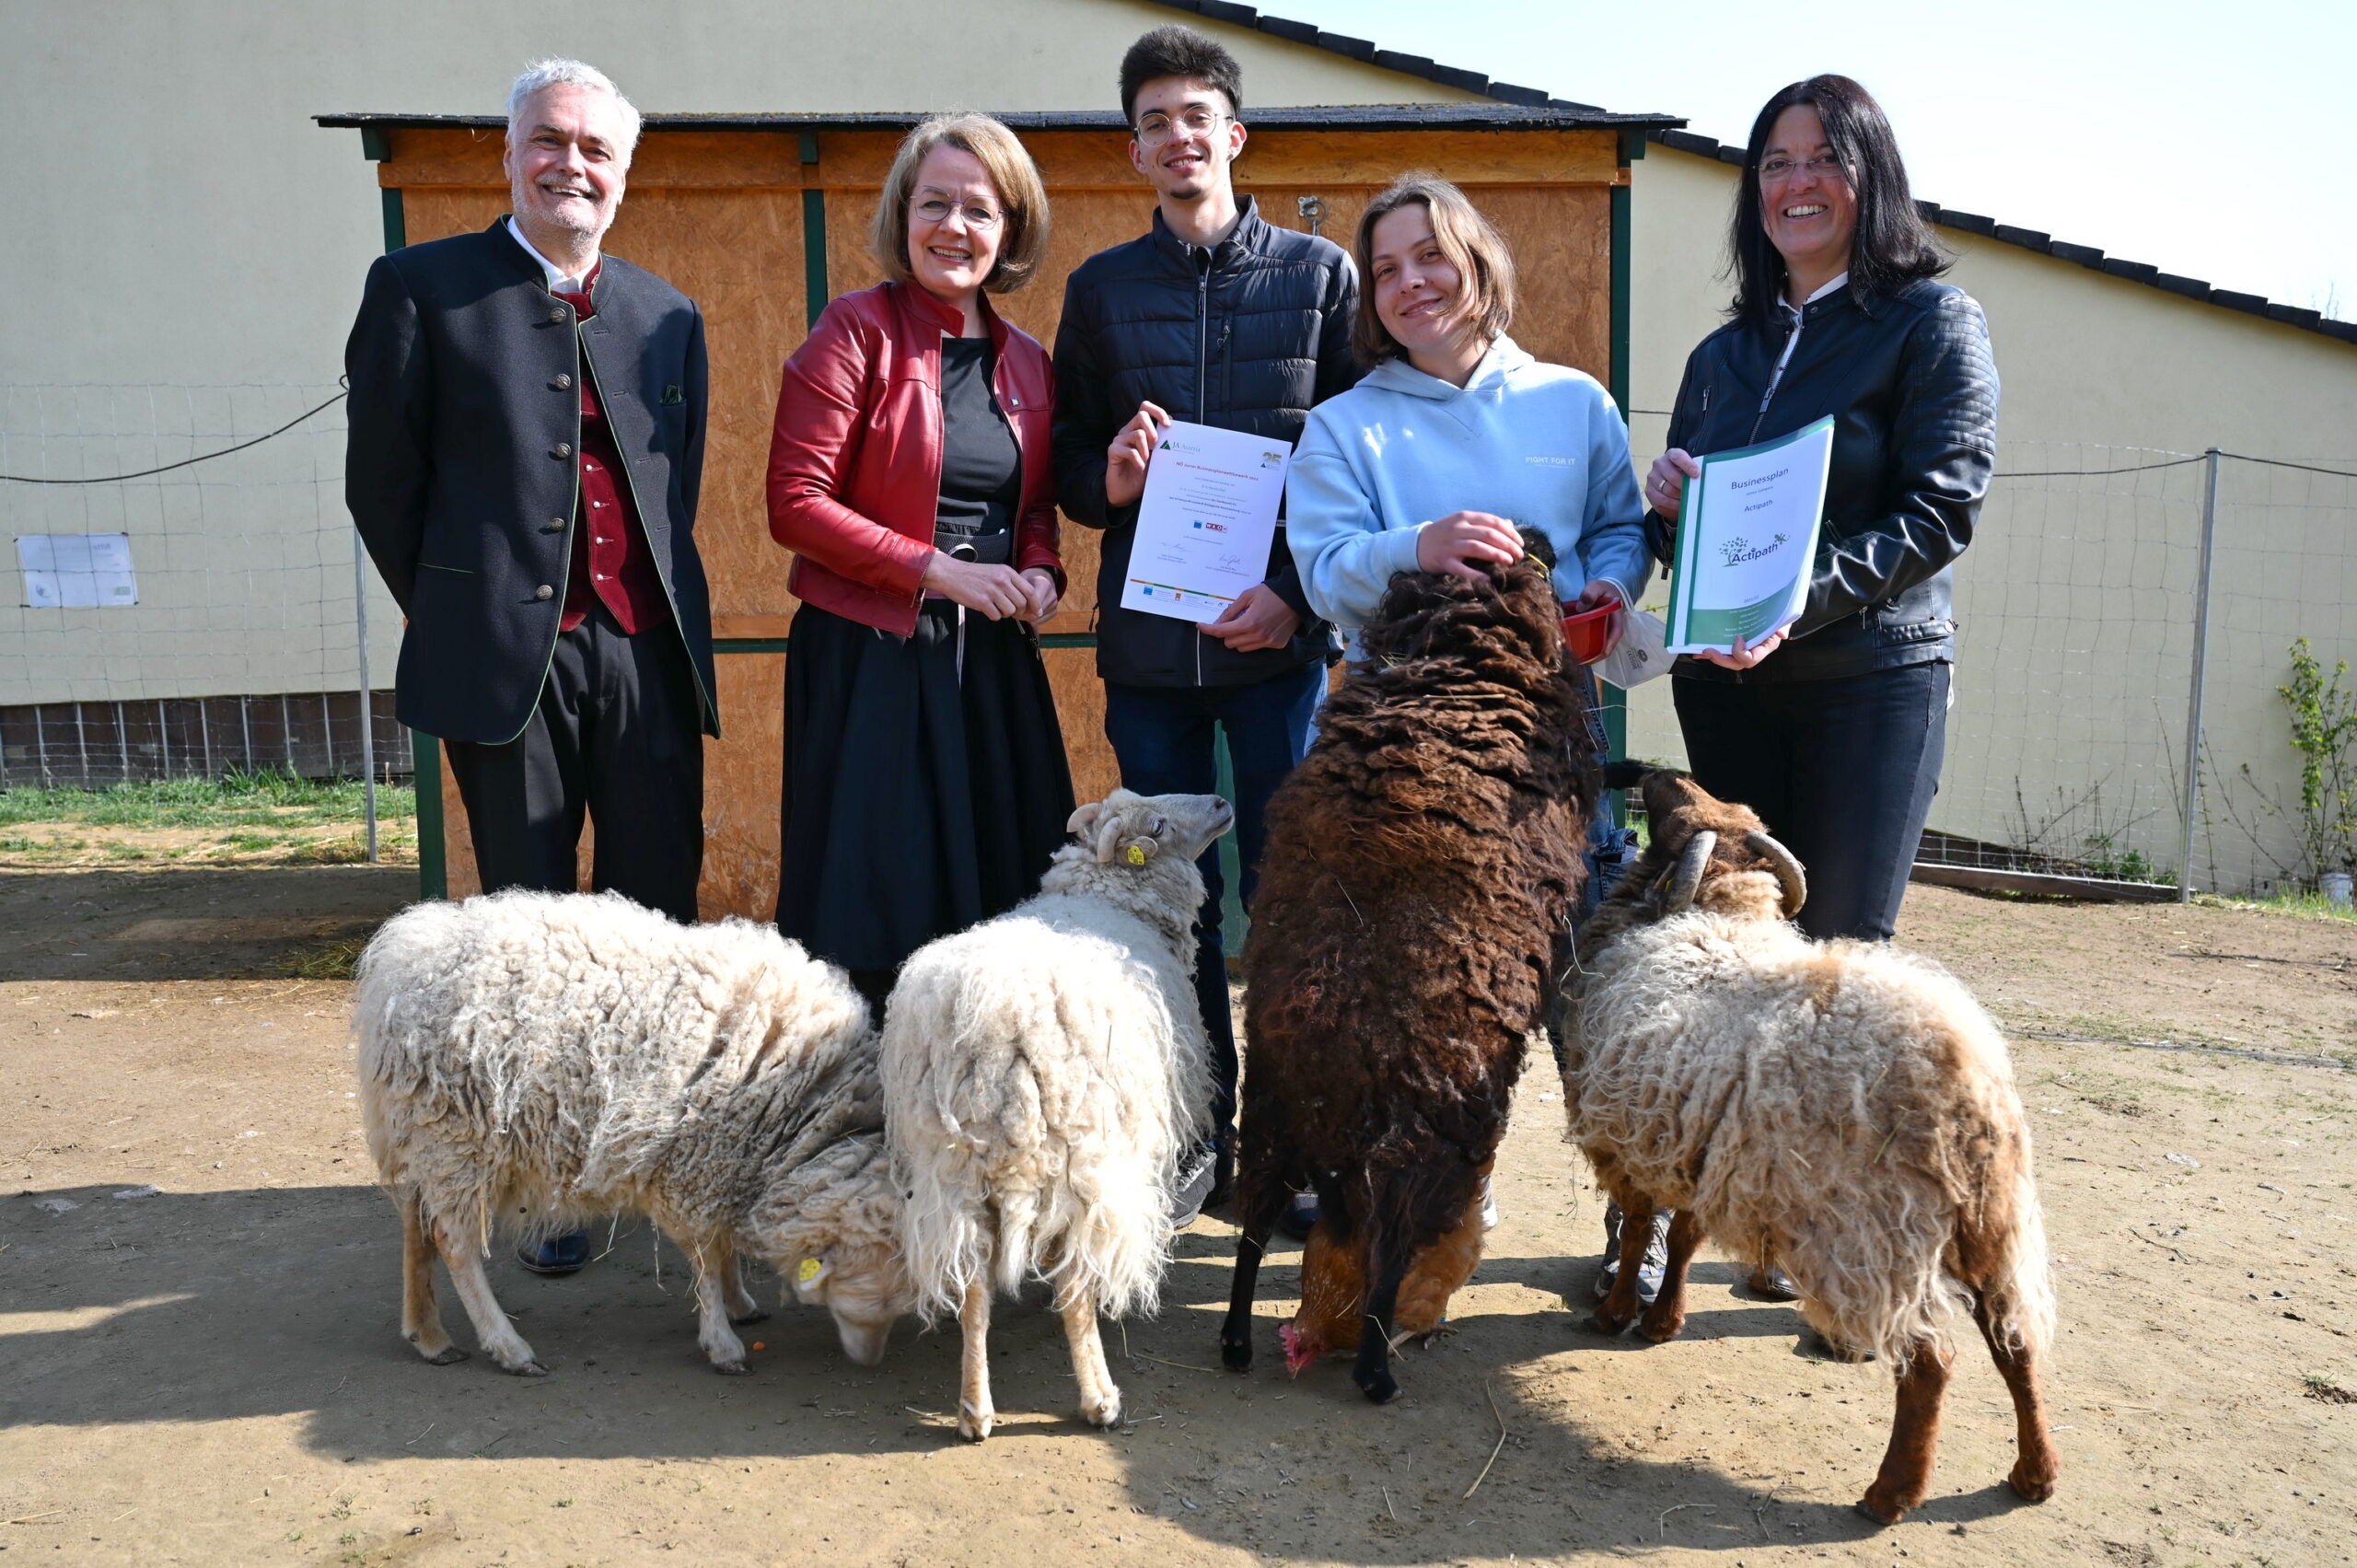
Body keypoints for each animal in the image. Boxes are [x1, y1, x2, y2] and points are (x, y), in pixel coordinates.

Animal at [354, 886, 914, 1376]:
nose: (871, 1358)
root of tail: (403, 954)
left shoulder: (724, 1160)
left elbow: (722, 1243)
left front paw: (739, 1303)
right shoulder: (691, 1165)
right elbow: (706, 1257)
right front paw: (723, 1340)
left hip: (424, 1134)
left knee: (417, 1224)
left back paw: (428, 1335)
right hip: (457, 1138)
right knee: (454, 1244)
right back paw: (508, 1347)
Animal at [1215, 544, 1602, 1396]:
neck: (1450, 659)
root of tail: (1332, 1083)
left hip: (1268, 1116)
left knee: (1255, 1224)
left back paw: (1234, 1339)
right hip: (1419, 1144)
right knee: (1389, 1253)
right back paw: (1374, 1373)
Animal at [1564, 763, 2064, 1518]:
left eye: (1676, 813)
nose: (1650, 771)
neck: (1717, 915)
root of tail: (1967, 1083)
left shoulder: (1632, 1145)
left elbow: (1638, 1232)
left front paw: (1618, 1312)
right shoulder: (1702, 1145)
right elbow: (1682, 1236)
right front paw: (1662, 1322)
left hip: (1873, 1233)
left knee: (1931, 1361)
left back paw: (1890, 1493)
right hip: (1991, 1223)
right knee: (2017, 1344)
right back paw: (2035, 1472)